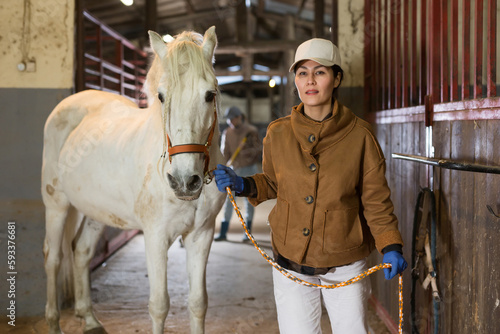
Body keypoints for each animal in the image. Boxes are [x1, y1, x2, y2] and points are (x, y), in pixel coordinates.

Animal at [42, 26, 226, 334]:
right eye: (161, 96)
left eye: (210, 94)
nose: (184, 181)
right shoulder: (155, 236)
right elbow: (159, 305)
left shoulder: (201, 235)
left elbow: (198, 303)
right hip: (57, 206)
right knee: (53, 258)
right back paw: (54, 323)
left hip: (96, 213)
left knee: (81, 252)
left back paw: (89, 319)